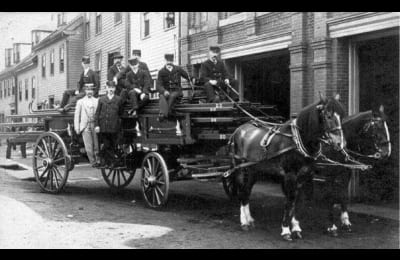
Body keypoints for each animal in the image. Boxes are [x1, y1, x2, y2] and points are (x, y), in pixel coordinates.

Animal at [227, 94, 346, 241]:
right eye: (328, 115)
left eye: (342, 116)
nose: (339, 143)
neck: (298, 141)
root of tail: (239, 129)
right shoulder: (290, 175)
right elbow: (289, 201)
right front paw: (286, 230)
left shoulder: (304, 176)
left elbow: (297, 201)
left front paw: (296, 228)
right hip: (239, 168)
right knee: (241, 191)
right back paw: (244, 222)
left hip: (254, 170)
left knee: (246, 191)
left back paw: (249, 219)